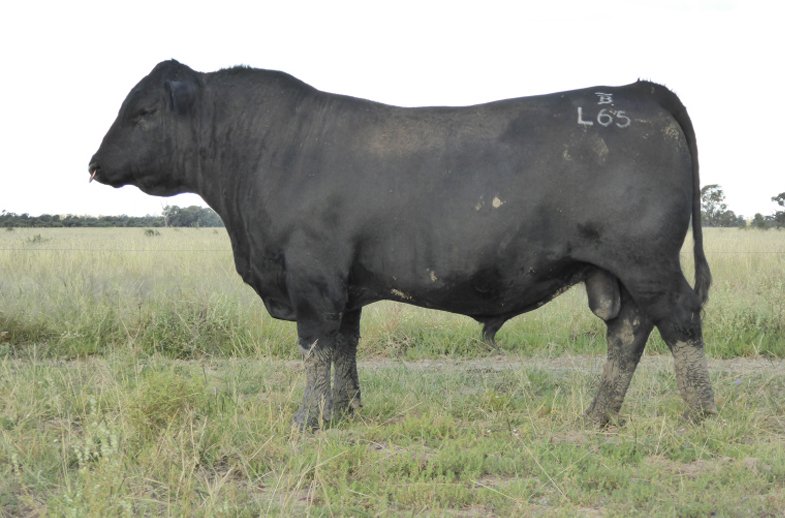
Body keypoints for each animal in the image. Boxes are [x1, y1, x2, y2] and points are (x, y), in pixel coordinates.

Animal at [89, 60, 716, 429]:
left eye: (143, 110)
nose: (94, 164)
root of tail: (637, 91)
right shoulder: (345, 287)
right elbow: (344, 347)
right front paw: (346, 412)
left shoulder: (312, 276)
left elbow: (314, 348)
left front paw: (306, 422)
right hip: (618, 269)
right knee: (628, 330)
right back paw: (597, 416)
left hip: (647, 260)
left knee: (677, 320)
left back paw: (699, 414)